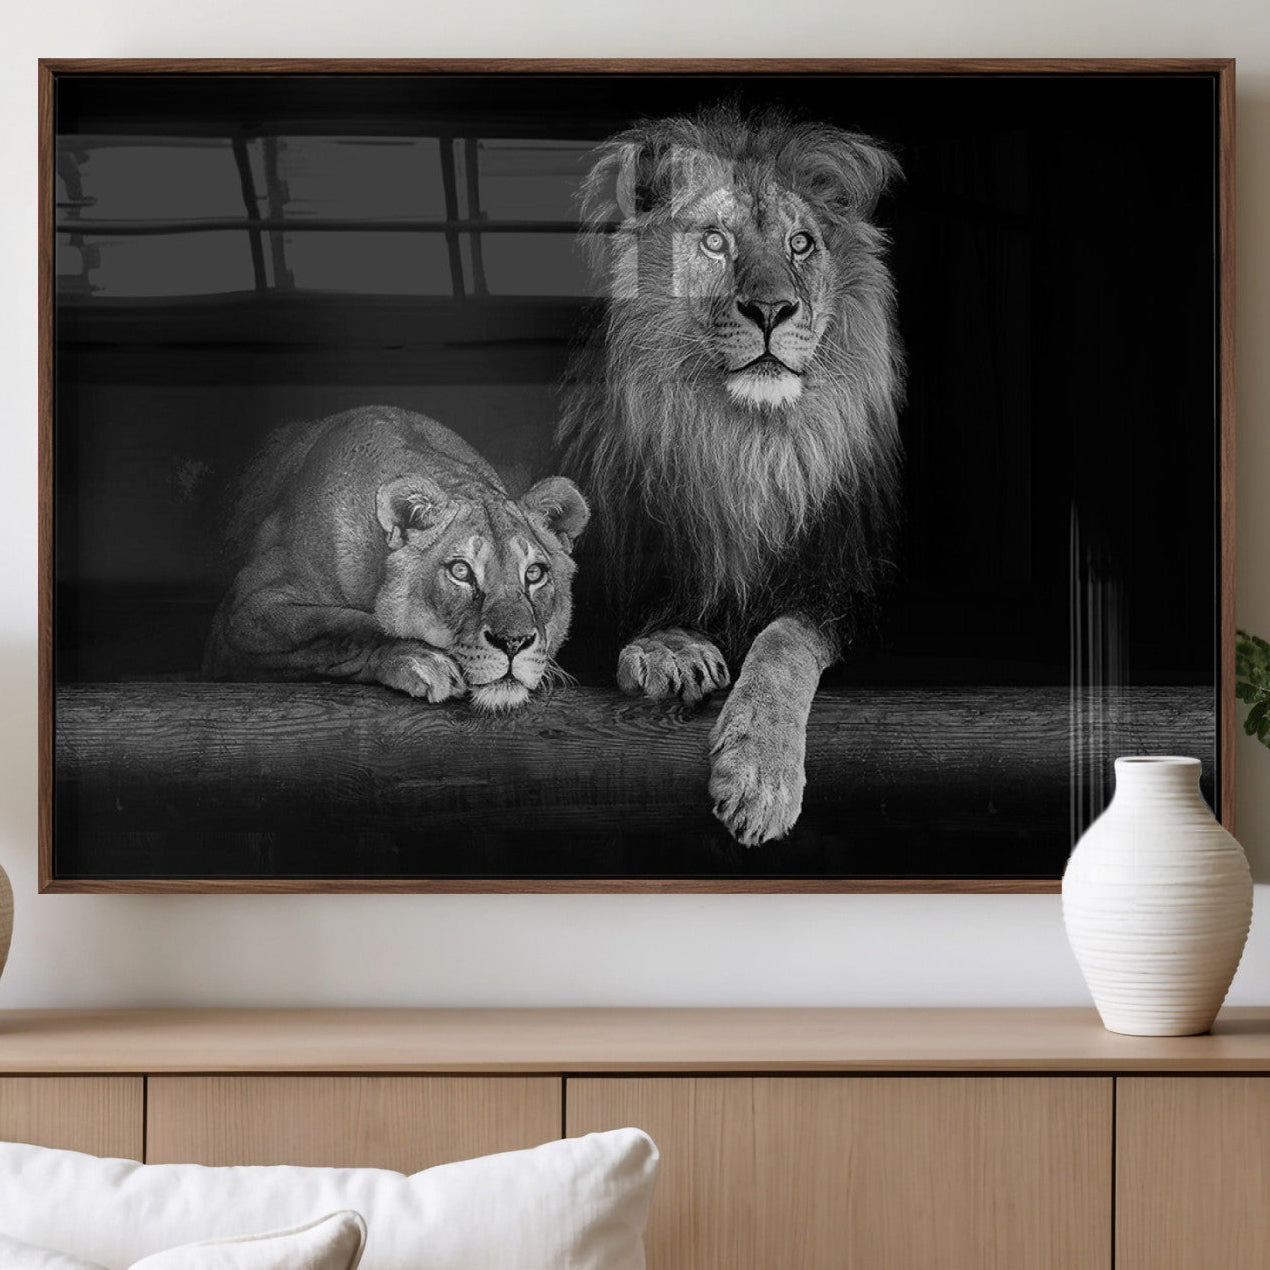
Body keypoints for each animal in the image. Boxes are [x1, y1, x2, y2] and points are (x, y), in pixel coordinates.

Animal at [204, 406, 590, 712]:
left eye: (534, 573)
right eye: (461, 571)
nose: (514, 643)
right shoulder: (244, 611)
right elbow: (344, 628)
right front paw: (422, 659)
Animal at [556, 105, 904, 845]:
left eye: (801, 244)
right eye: (715, 242)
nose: (772, 310)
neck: (743, 445)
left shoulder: (843, 582)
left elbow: (784, 641)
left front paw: (760, 776)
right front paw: (670, 648)